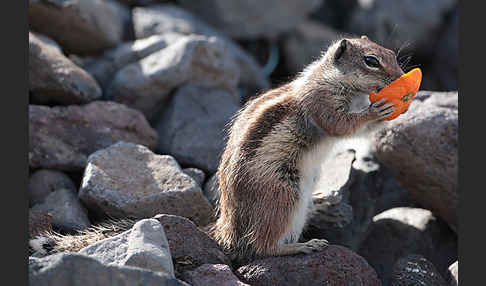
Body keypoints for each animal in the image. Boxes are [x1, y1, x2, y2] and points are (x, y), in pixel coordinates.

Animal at [211, 35, 404, 264]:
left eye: (391, 54)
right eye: (371, 61)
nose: (400, 76)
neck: (334, 78)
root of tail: (229, 229)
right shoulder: (321, 101)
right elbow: (342, 125)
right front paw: (376, 111)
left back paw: (321, 204)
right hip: (283, 193)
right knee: (262, 245)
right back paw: (303, 245)